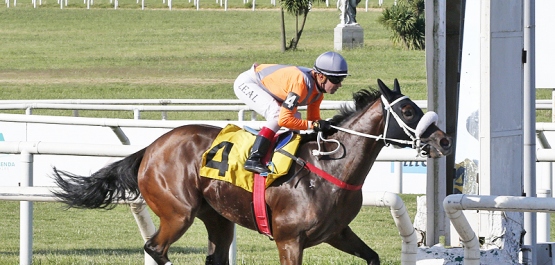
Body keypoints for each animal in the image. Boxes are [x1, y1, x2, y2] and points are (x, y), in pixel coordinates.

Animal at [52, 78, 452, 264]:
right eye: (410, 111)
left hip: (217, 218)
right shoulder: (290, 240)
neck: (329, 168)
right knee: (155, 247)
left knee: (212, 254)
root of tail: (150, 148)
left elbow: (372, 256)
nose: (445, 141)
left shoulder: (338, 232)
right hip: (177, 213)